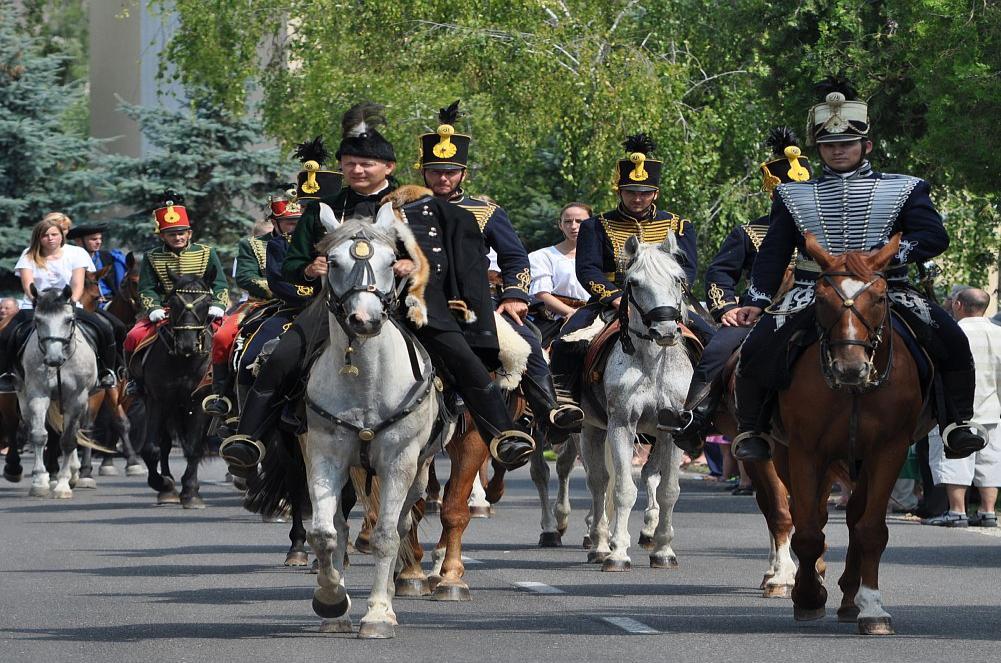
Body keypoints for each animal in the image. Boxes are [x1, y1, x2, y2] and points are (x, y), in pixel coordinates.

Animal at [16, 286, 98, 498]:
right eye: (38, 320)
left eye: (68, 320)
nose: (53, 359)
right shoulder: (38, 394)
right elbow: (39, 435)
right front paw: (39, 482)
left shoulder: (77, 399)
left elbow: (68, 440)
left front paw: (62, 484)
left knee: (74, 431)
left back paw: (74, 474)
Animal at [132, 270, 214, 508]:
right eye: (172, 303)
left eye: (207, 303)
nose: (186, 344)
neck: (184, 362)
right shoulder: (157, 400)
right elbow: (151, 449)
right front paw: (164, 484)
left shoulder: (199, 402)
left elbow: (194, 448)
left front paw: (191, 492)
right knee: (165, 444)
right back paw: (167, 489)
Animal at [300, 204, 450, 640]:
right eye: (333, 261)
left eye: (389, 261)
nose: (364, 320)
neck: (364, 381)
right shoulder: (325, 455)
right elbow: (324, 533)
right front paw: (332, 601)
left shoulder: (399, 461)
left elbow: (384, 535)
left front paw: (379, 614)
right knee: (338, 526)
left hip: (419, 472)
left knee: (400, 525)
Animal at [576, 233, 692, 572]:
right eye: (635, 282)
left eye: (678, 278)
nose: (665, 330)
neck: (652, 362)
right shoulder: (622, 426)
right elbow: (623, 490)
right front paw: (617, 553)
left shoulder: (672, 428)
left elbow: (669, 490)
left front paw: (664, 550)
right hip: (591, 428)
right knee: (599, 482)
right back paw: (600, 544)